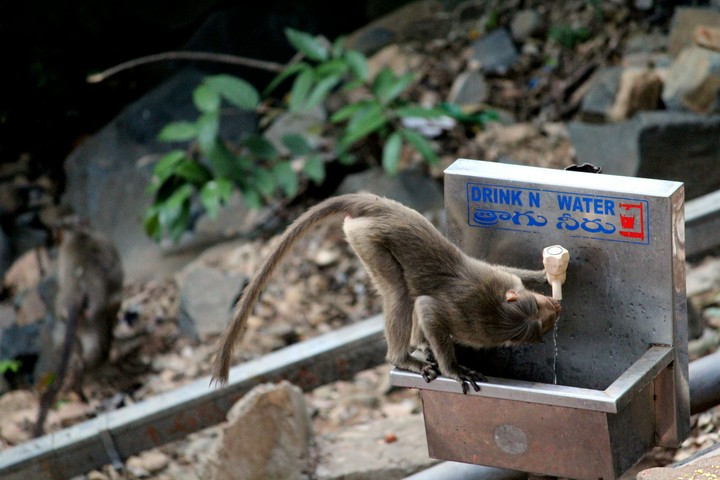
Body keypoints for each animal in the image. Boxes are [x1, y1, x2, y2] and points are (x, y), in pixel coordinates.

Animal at [33, 219, 124, 437]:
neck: (77, 233)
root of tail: (75, 295)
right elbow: (115, 305)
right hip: (93, 321)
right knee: (94, 350)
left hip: (64, 326)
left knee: (75, 356)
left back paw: (78, 392)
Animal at [211, 193, 561, 394]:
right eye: (541, 312)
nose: (556, 307)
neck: (498, 308)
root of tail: (375, 205)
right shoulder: (474, 323)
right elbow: (429, 308)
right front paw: (453, 369)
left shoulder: (499, 281)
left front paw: (544, 274)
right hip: (365, 238)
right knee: (400, 294)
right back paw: (403, 358)